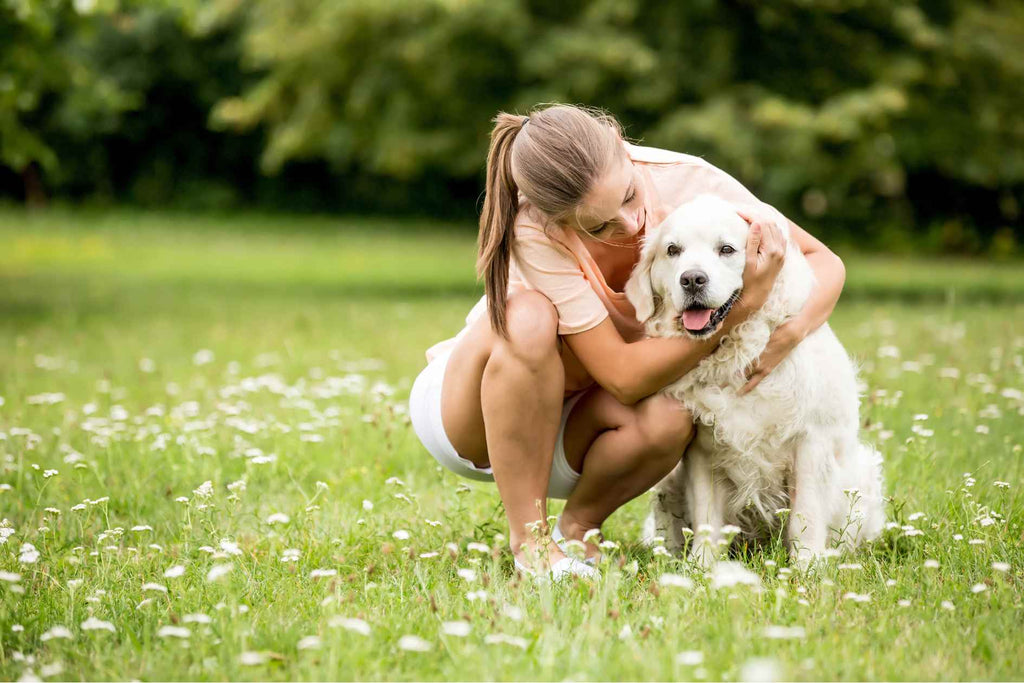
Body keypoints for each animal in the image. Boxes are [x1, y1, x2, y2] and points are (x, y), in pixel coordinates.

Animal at [618, 192, 884, 565]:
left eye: (726, 249)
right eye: (673, 250)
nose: (692, 279)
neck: (736, 355)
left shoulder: (811, 441)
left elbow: (805, 515)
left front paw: (806, 567)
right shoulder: (702, 450)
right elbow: (707, 518)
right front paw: (702, 567)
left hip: (862, 475)